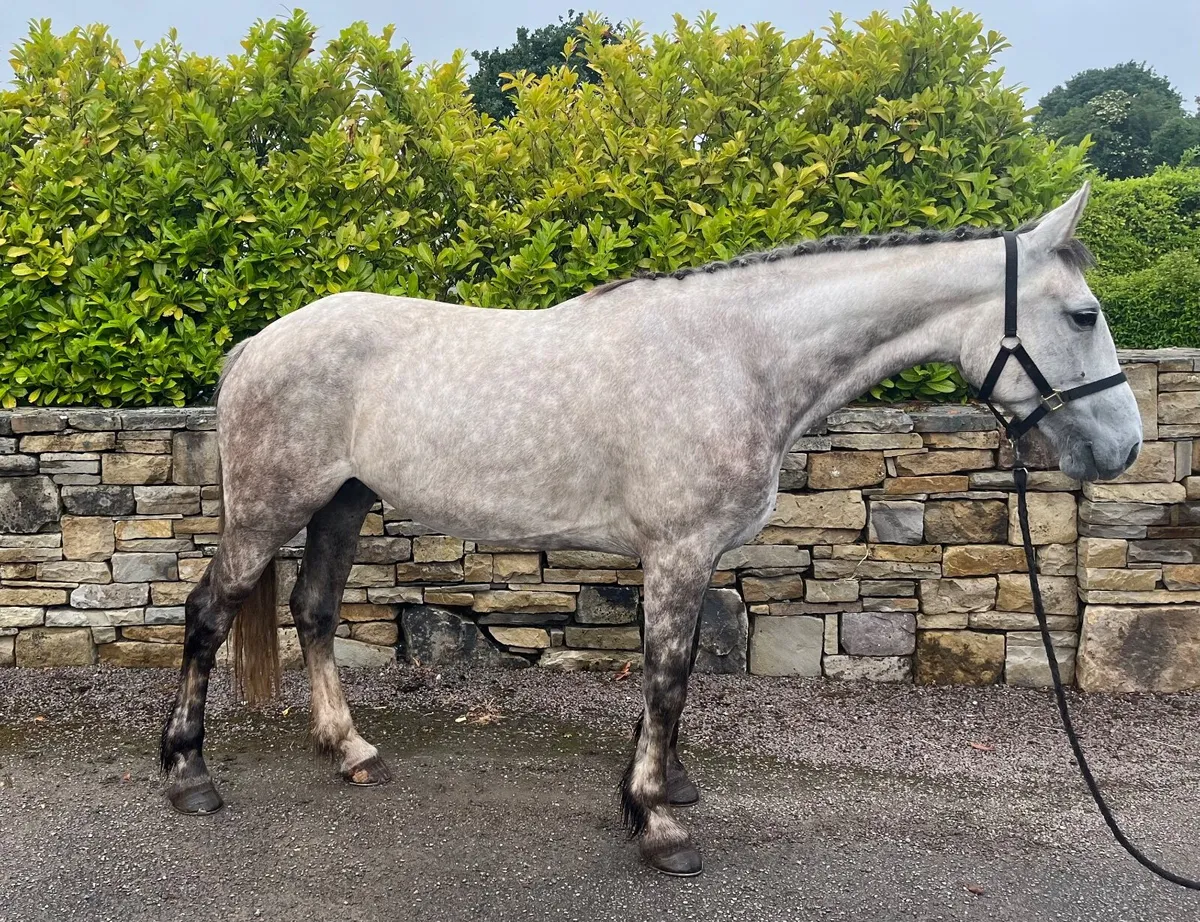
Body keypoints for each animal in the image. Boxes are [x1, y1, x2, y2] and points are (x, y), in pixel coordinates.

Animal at [160, 183, 1142, 876]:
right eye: (1084, 314)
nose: (1123, 447)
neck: (738, 356)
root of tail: (259, 344)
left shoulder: (684, 557)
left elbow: (669, 675)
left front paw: (657, 792)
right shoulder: (677, 551)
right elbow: (668, 677)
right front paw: (663, 828)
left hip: (343, 501)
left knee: (315, 611)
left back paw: (352, 751)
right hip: (271, 507)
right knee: (208, 614)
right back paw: (189, 777)